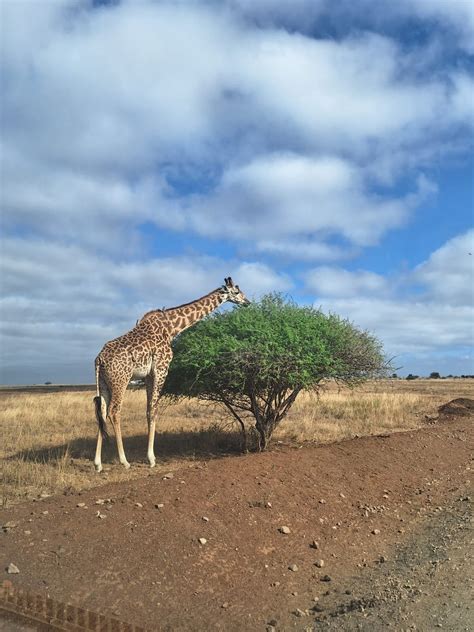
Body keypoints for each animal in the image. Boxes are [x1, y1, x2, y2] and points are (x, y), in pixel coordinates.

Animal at [92, 276, 252, 470]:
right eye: (237, 292)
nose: (247, 302)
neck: (172, 328)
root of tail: (99, 359)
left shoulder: (148, 375)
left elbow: (148, 410)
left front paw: (150, 456)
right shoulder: (162, 368)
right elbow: (154, 410)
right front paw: (151, 458)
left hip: (103, 383)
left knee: (101, 412)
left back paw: (98, 464)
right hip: (120, 380)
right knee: (114, 411)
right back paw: (124, 461)